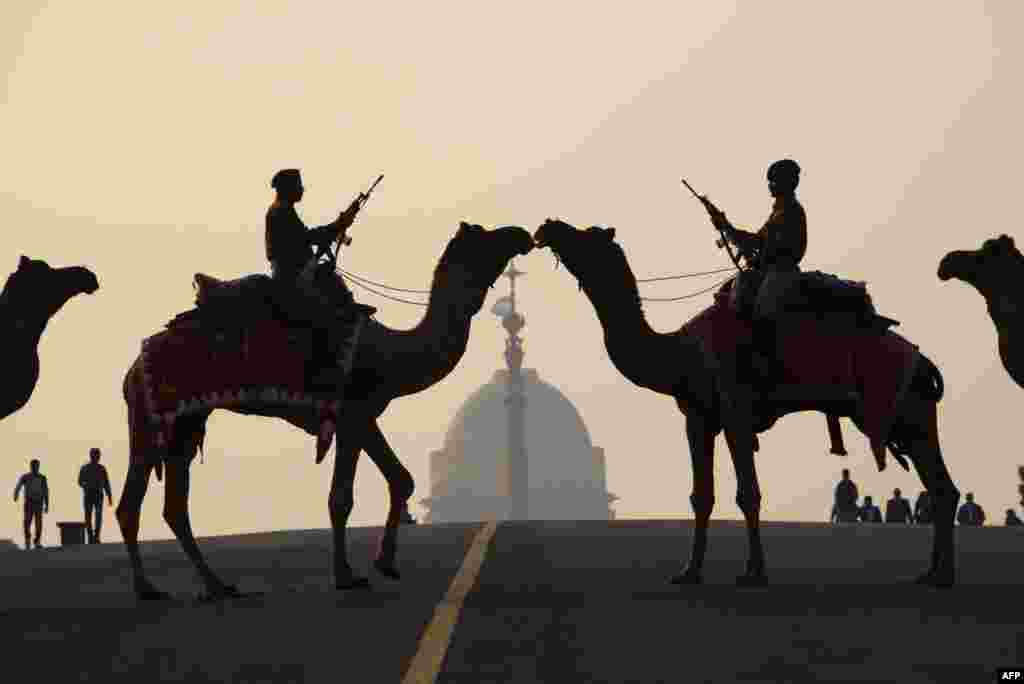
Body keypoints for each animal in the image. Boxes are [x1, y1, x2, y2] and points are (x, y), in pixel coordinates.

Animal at [117, 224, 536, 597]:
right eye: (484, 238)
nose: (521, 235)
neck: (390, 354)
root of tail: (132, 369)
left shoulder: (364, 415)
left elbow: (400, 479)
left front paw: (384, 563)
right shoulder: (352, 411)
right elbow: (342, 497)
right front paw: (347, 575)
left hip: (184, 422)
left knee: (172, 503)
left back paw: (215, 585)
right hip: (151, 414)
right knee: (132, 503)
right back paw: (148, 588)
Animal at [536, 220, 958, 589]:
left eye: (586, 236)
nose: (547, 227)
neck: (681, 354)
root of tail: (925, 363)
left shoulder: (735, 411)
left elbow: (748, 494)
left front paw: (754, 573)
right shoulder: (698, 418)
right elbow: (701, 496)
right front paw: (689, 572)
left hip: (907, 410)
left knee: (940, 486)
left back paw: (942, 576)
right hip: (909, 418)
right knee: (942, 489)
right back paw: (933, 574)